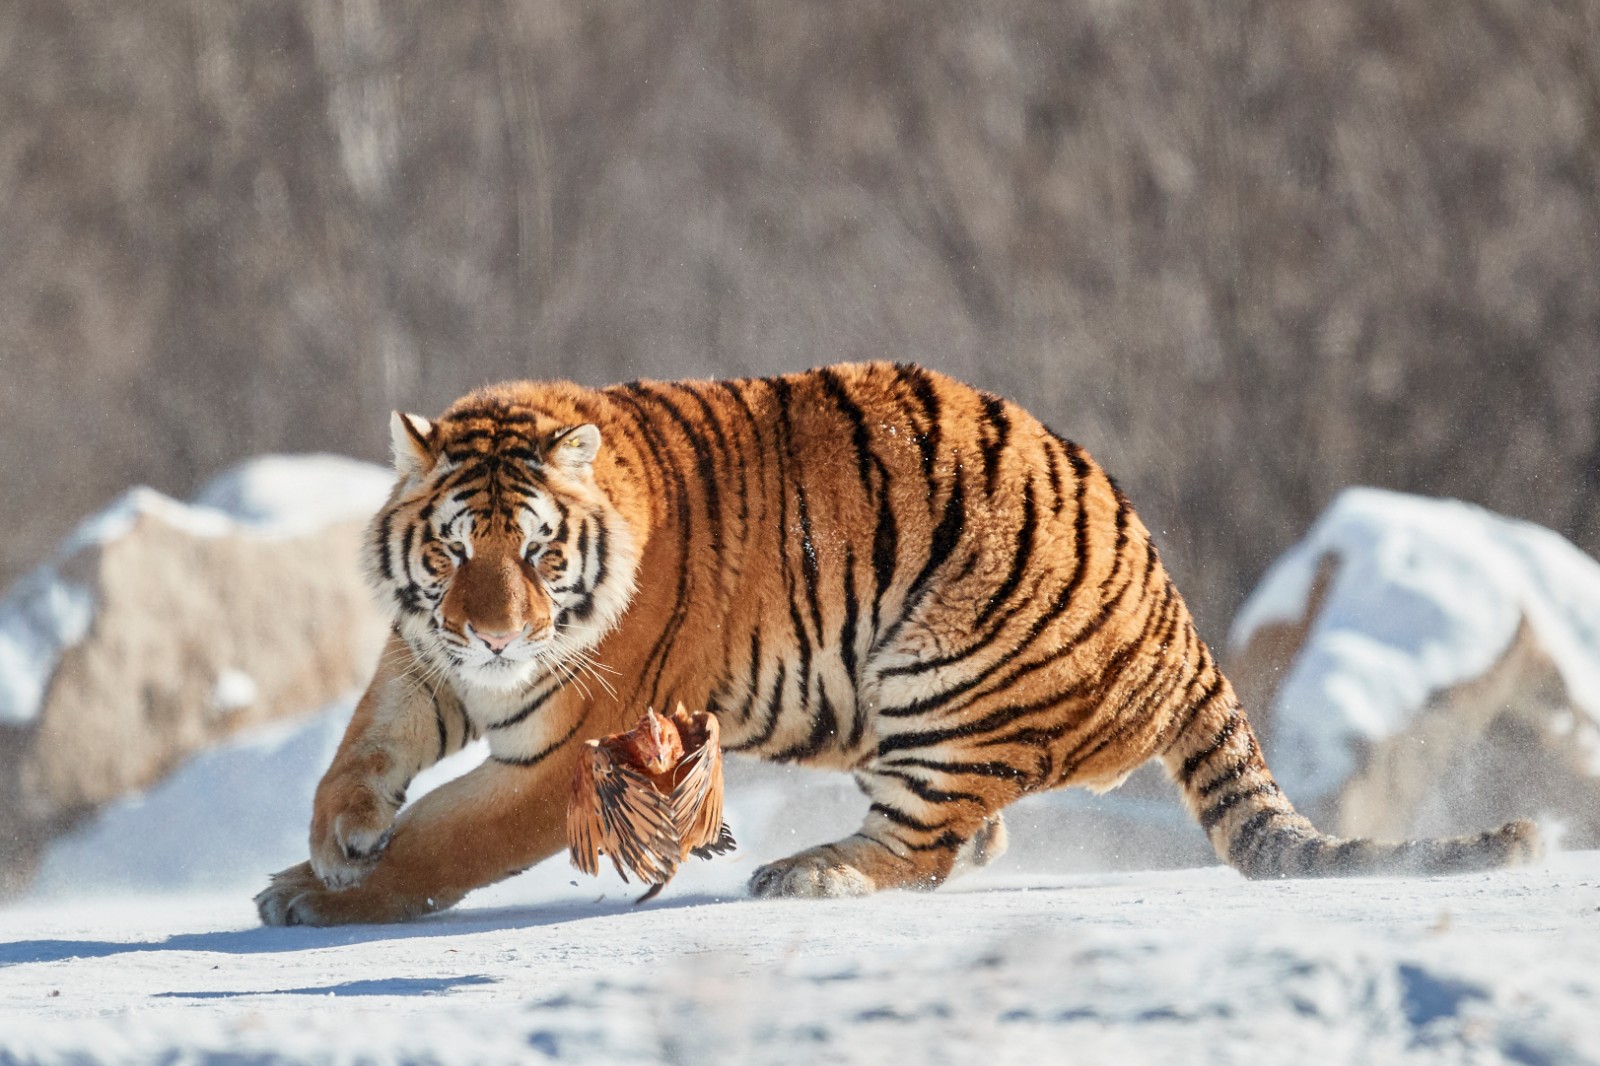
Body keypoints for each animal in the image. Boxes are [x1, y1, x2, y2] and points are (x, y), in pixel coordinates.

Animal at [256, 358, 1542, 921]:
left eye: (535, 553)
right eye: (452, 552)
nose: (492, 635)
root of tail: (1180, 622)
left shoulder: (574, 743)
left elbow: (449, 836)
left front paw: (325, 895)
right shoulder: (425, 656)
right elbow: (364, 745)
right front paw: (331, 842)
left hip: (946, 678)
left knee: (923, 841)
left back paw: (810, 868)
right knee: (970, 836)